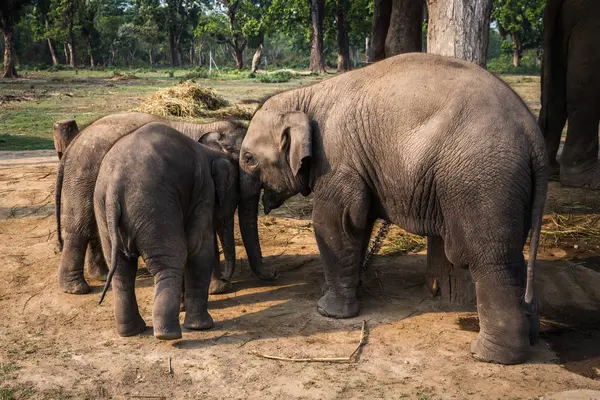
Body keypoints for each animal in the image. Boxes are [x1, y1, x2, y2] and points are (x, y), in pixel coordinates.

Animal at [55, 112, 274, 296]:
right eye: (235, 194)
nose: (271, 276)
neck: (212, 127)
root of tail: (74, 142)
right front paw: (218, 288)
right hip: (84, 174)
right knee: (80, 227)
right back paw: (77, 288)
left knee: (93, 226)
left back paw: (100, 274)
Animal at [95, 122, 238, 340]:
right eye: (234, 200)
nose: (224, 281)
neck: (210, 151)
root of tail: (114, 188)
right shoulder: (203, 190)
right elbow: (198, 248)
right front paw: (202, 326)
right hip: (154, 205)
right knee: (171, 261)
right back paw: (168, 334)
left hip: (104, 211)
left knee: (120, 269)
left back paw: (132, 331)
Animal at [239, 54, 548, 366]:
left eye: (248, 158)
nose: (274, 275)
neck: (306, 95)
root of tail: (534, 136)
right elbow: (358, 225)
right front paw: (350, 291)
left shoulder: (338, 161)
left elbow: (334, 222)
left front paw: (328, 311)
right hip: (511, 190)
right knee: (514, 258)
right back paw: (531, 337)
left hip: (481, 183)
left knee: (487, 258)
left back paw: (490, 355)